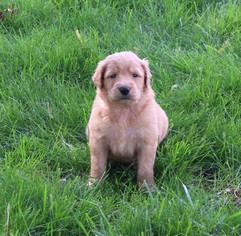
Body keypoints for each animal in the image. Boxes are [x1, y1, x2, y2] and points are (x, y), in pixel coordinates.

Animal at [86, 51, 168, 186]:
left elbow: (145, 168)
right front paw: (94, 185)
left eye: (135, 75)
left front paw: (147, 188)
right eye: (113, 75)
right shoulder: (98, 140)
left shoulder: (147, 142)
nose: (124, 89)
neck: (124, 111)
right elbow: (97, 165)